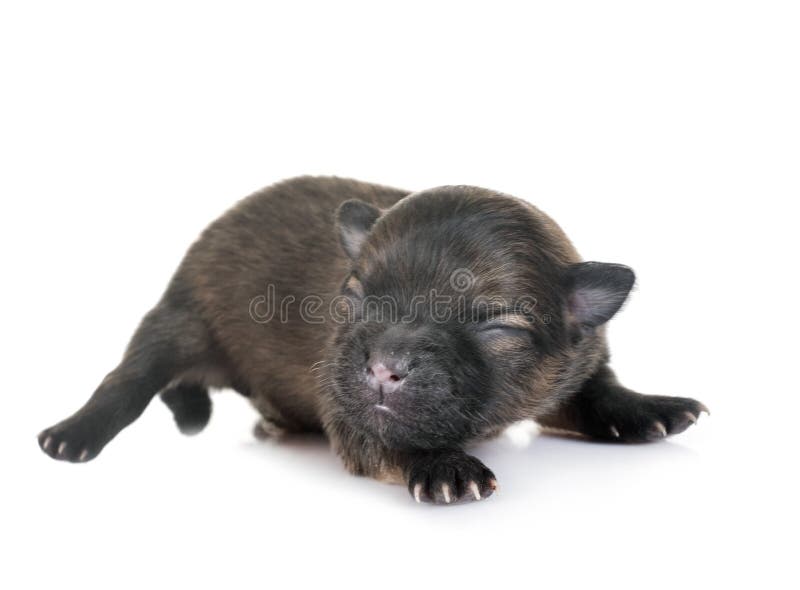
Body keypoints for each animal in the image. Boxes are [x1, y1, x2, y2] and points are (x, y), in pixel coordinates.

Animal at [37, 176, 708, 504]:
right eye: (357, 298)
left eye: (493, 325)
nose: (385, 366)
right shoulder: (348, 406)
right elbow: (393, 436)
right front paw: (443, 466)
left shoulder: (575, 364)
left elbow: (596, 391)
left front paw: (646, 409)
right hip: (179, 320)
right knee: (128, 378)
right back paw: (74, 433)